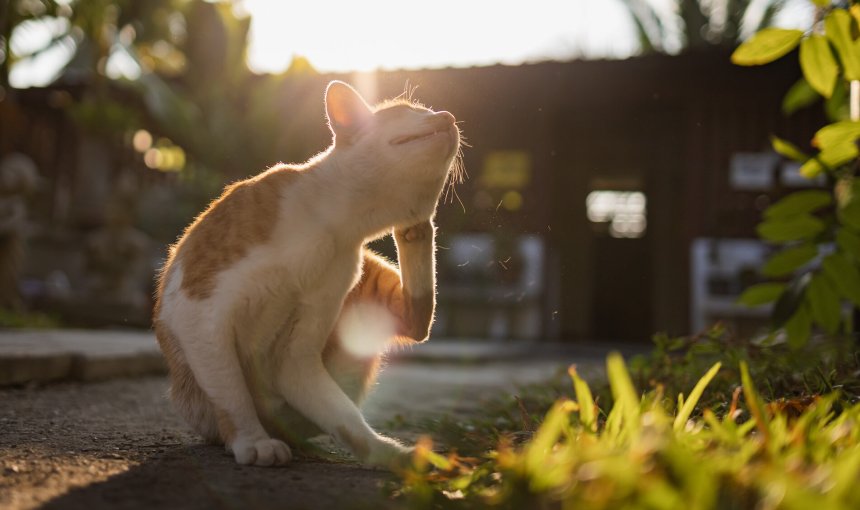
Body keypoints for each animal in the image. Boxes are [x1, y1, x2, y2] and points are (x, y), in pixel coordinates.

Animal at [155, 81, 464, 468]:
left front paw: (385, 453)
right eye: (410, 110)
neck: (334, 225)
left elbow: (345, 417)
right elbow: (232, 392)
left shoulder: (298, 350)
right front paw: (252, 440)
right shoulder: (197, 311)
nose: (448, 115)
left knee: (415, 324)